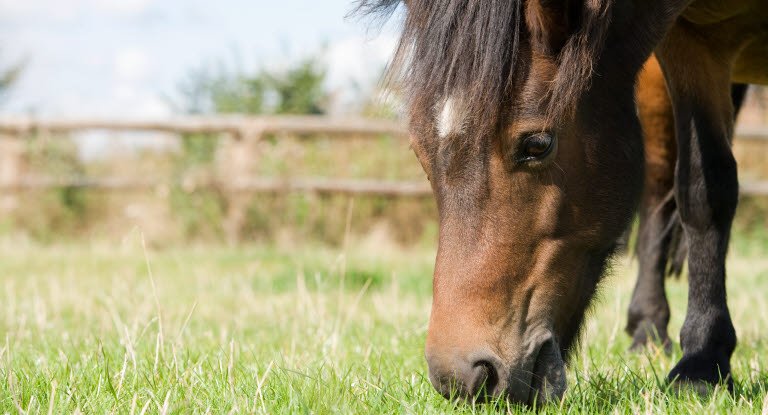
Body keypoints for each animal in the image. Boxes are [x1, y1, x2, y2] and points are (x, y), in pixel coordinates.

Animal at [358, 0, 760, 408]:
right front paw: (703, 359)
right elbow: (701, 190)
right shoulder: (692, 43)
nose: (463, 378)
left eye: (538, 145)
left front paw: (701, 368)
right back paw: (647, 329)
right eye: (419, 153)